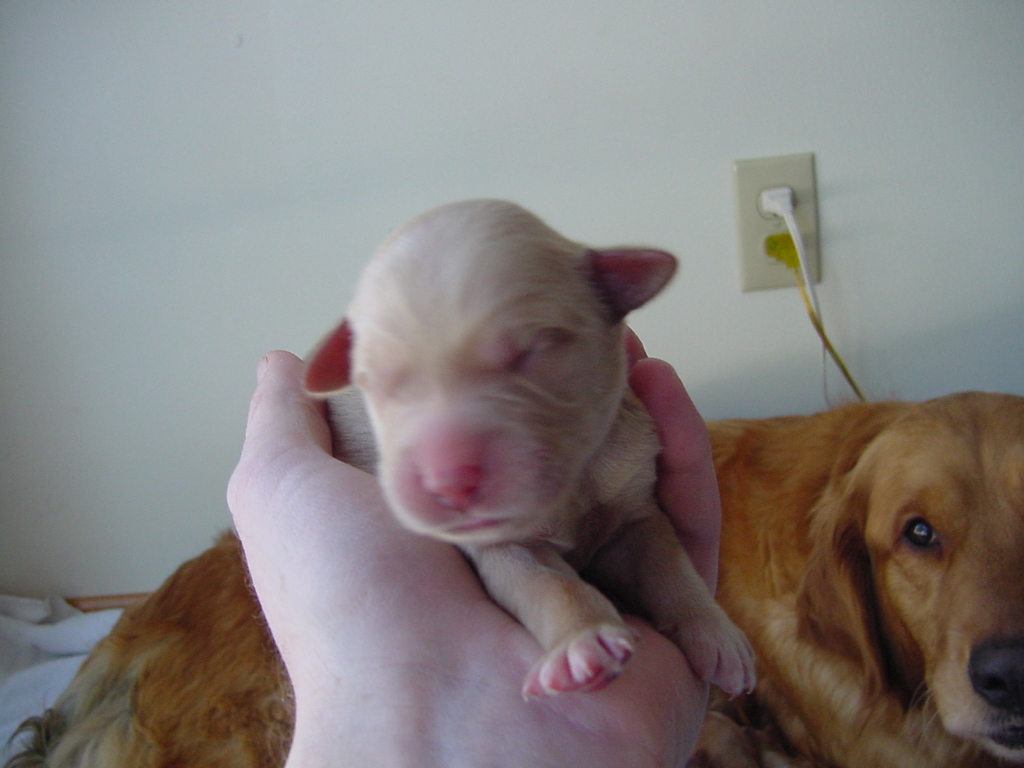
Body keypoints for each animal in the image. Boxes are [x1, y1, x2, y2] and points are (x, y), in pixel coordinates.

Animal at [303, 201, 753, 700]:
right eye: (375, 383)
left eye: (531, 351)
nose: (447, 481)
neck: (572, 487)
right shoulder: (502, 547)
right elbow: (547, 584)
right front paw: (584, 641)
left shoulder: (635, 512)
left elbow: (670, 565)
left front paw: (716, 634)